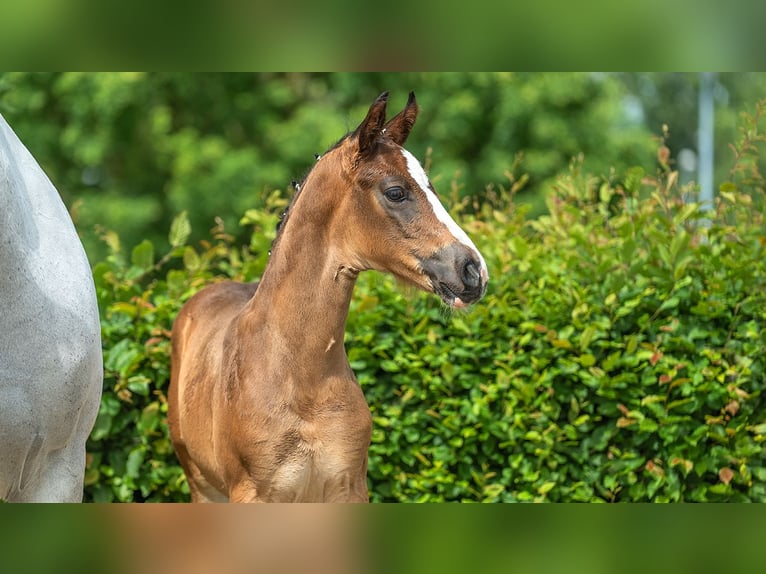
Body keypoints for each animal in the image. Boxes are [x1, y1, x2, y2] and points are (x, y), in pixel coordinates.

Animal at [170, 92, 488, 502]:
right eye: (396, 192)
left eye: (430, 186)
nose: (473, 271)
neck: (302, 381)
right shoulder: (252, 493)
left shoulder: (349, 487)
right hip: (202, 485)